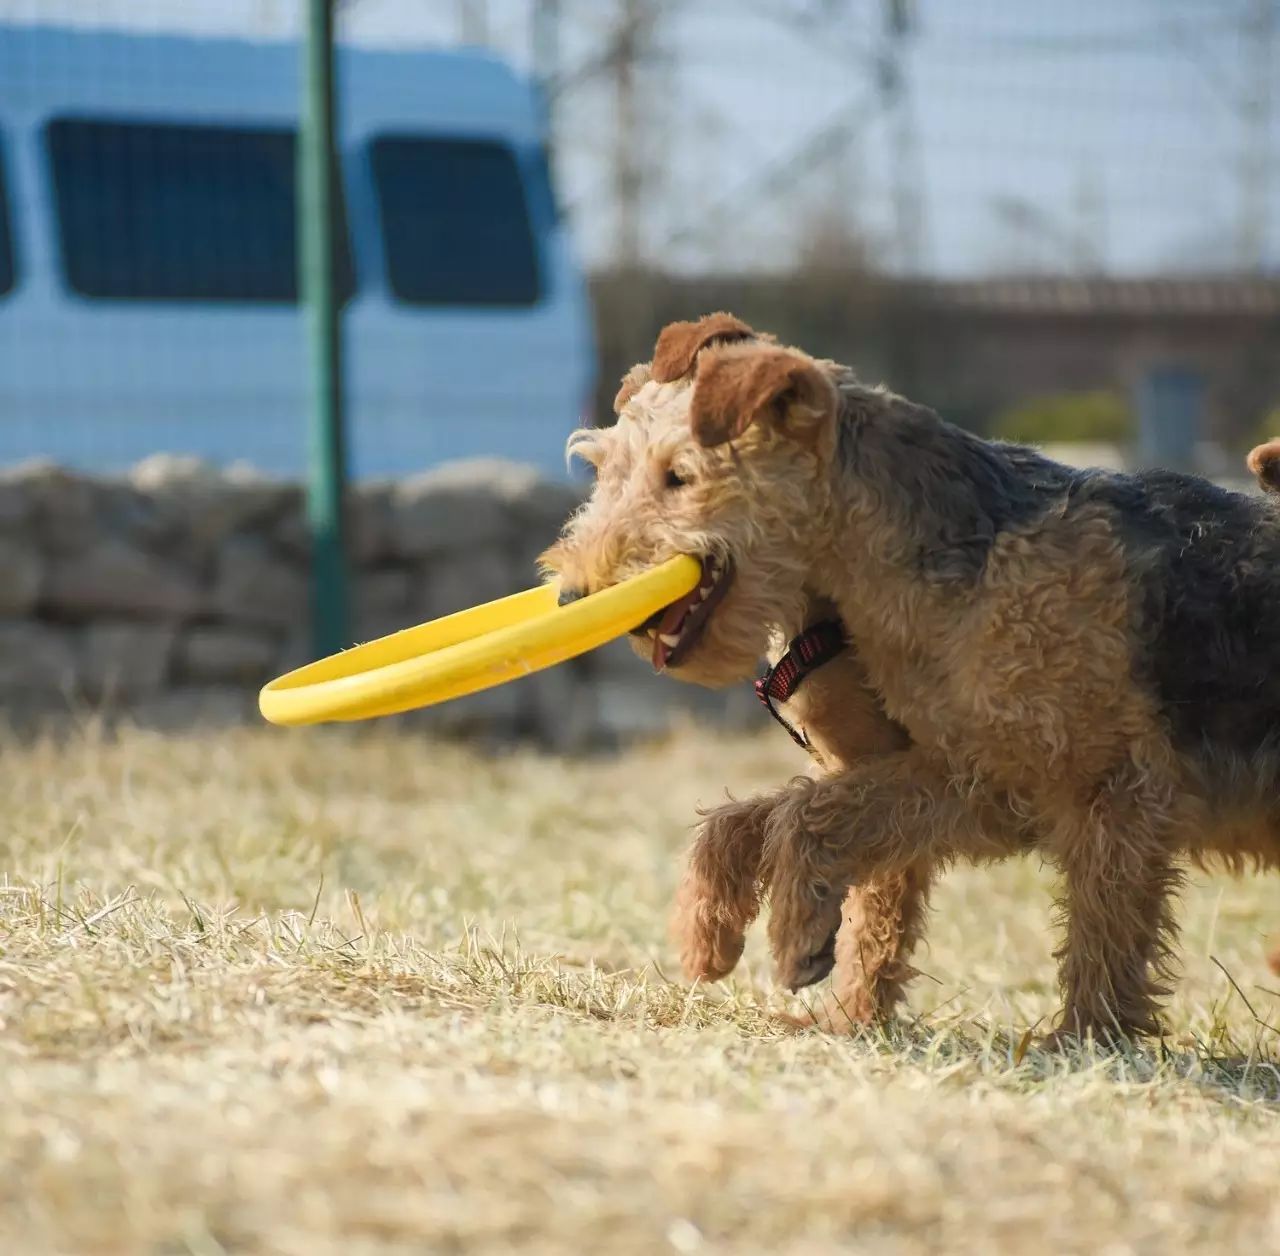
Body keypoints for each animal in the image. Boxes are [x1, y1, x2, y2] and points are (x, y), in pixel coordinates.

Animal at [545, 316, 1280, 1049]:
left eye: (679, 475)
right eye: (605, 470)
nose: (572, 597)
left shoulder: (1086, 786)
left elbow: (1100, 931)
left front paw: (1084, 1041)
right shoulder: (931, 772)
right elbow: (776, 835)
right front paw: (741, 952)